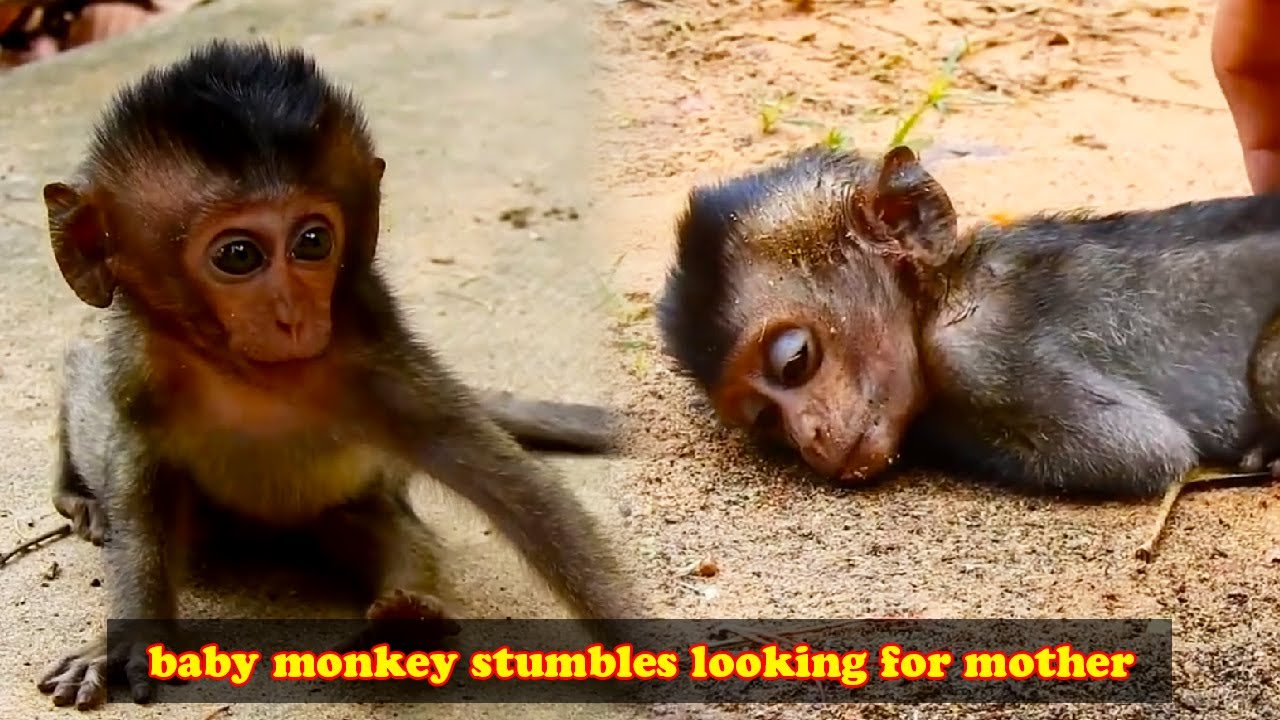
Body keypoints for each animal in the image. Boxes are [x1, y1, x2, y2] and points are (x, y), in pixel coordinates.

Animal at [34, 39, 635, 710]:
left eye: (313, 242)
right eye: (238, 255)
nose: (295, 315)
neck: (247, 374)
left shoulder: (373, 363)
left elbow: (513, 488)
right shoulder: (144, 369)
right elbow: (137, 472)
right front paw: (121, 643)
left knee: (383, 529)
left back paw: (405, 626)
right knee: (85, 385)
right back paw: (81, 497)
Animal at [656, 143, 1280, 562]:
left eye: (794, 361)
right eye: (767, 419)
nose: (808, 436)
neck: (941, 294)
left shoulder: (976, 353)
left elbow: (1146, 452)